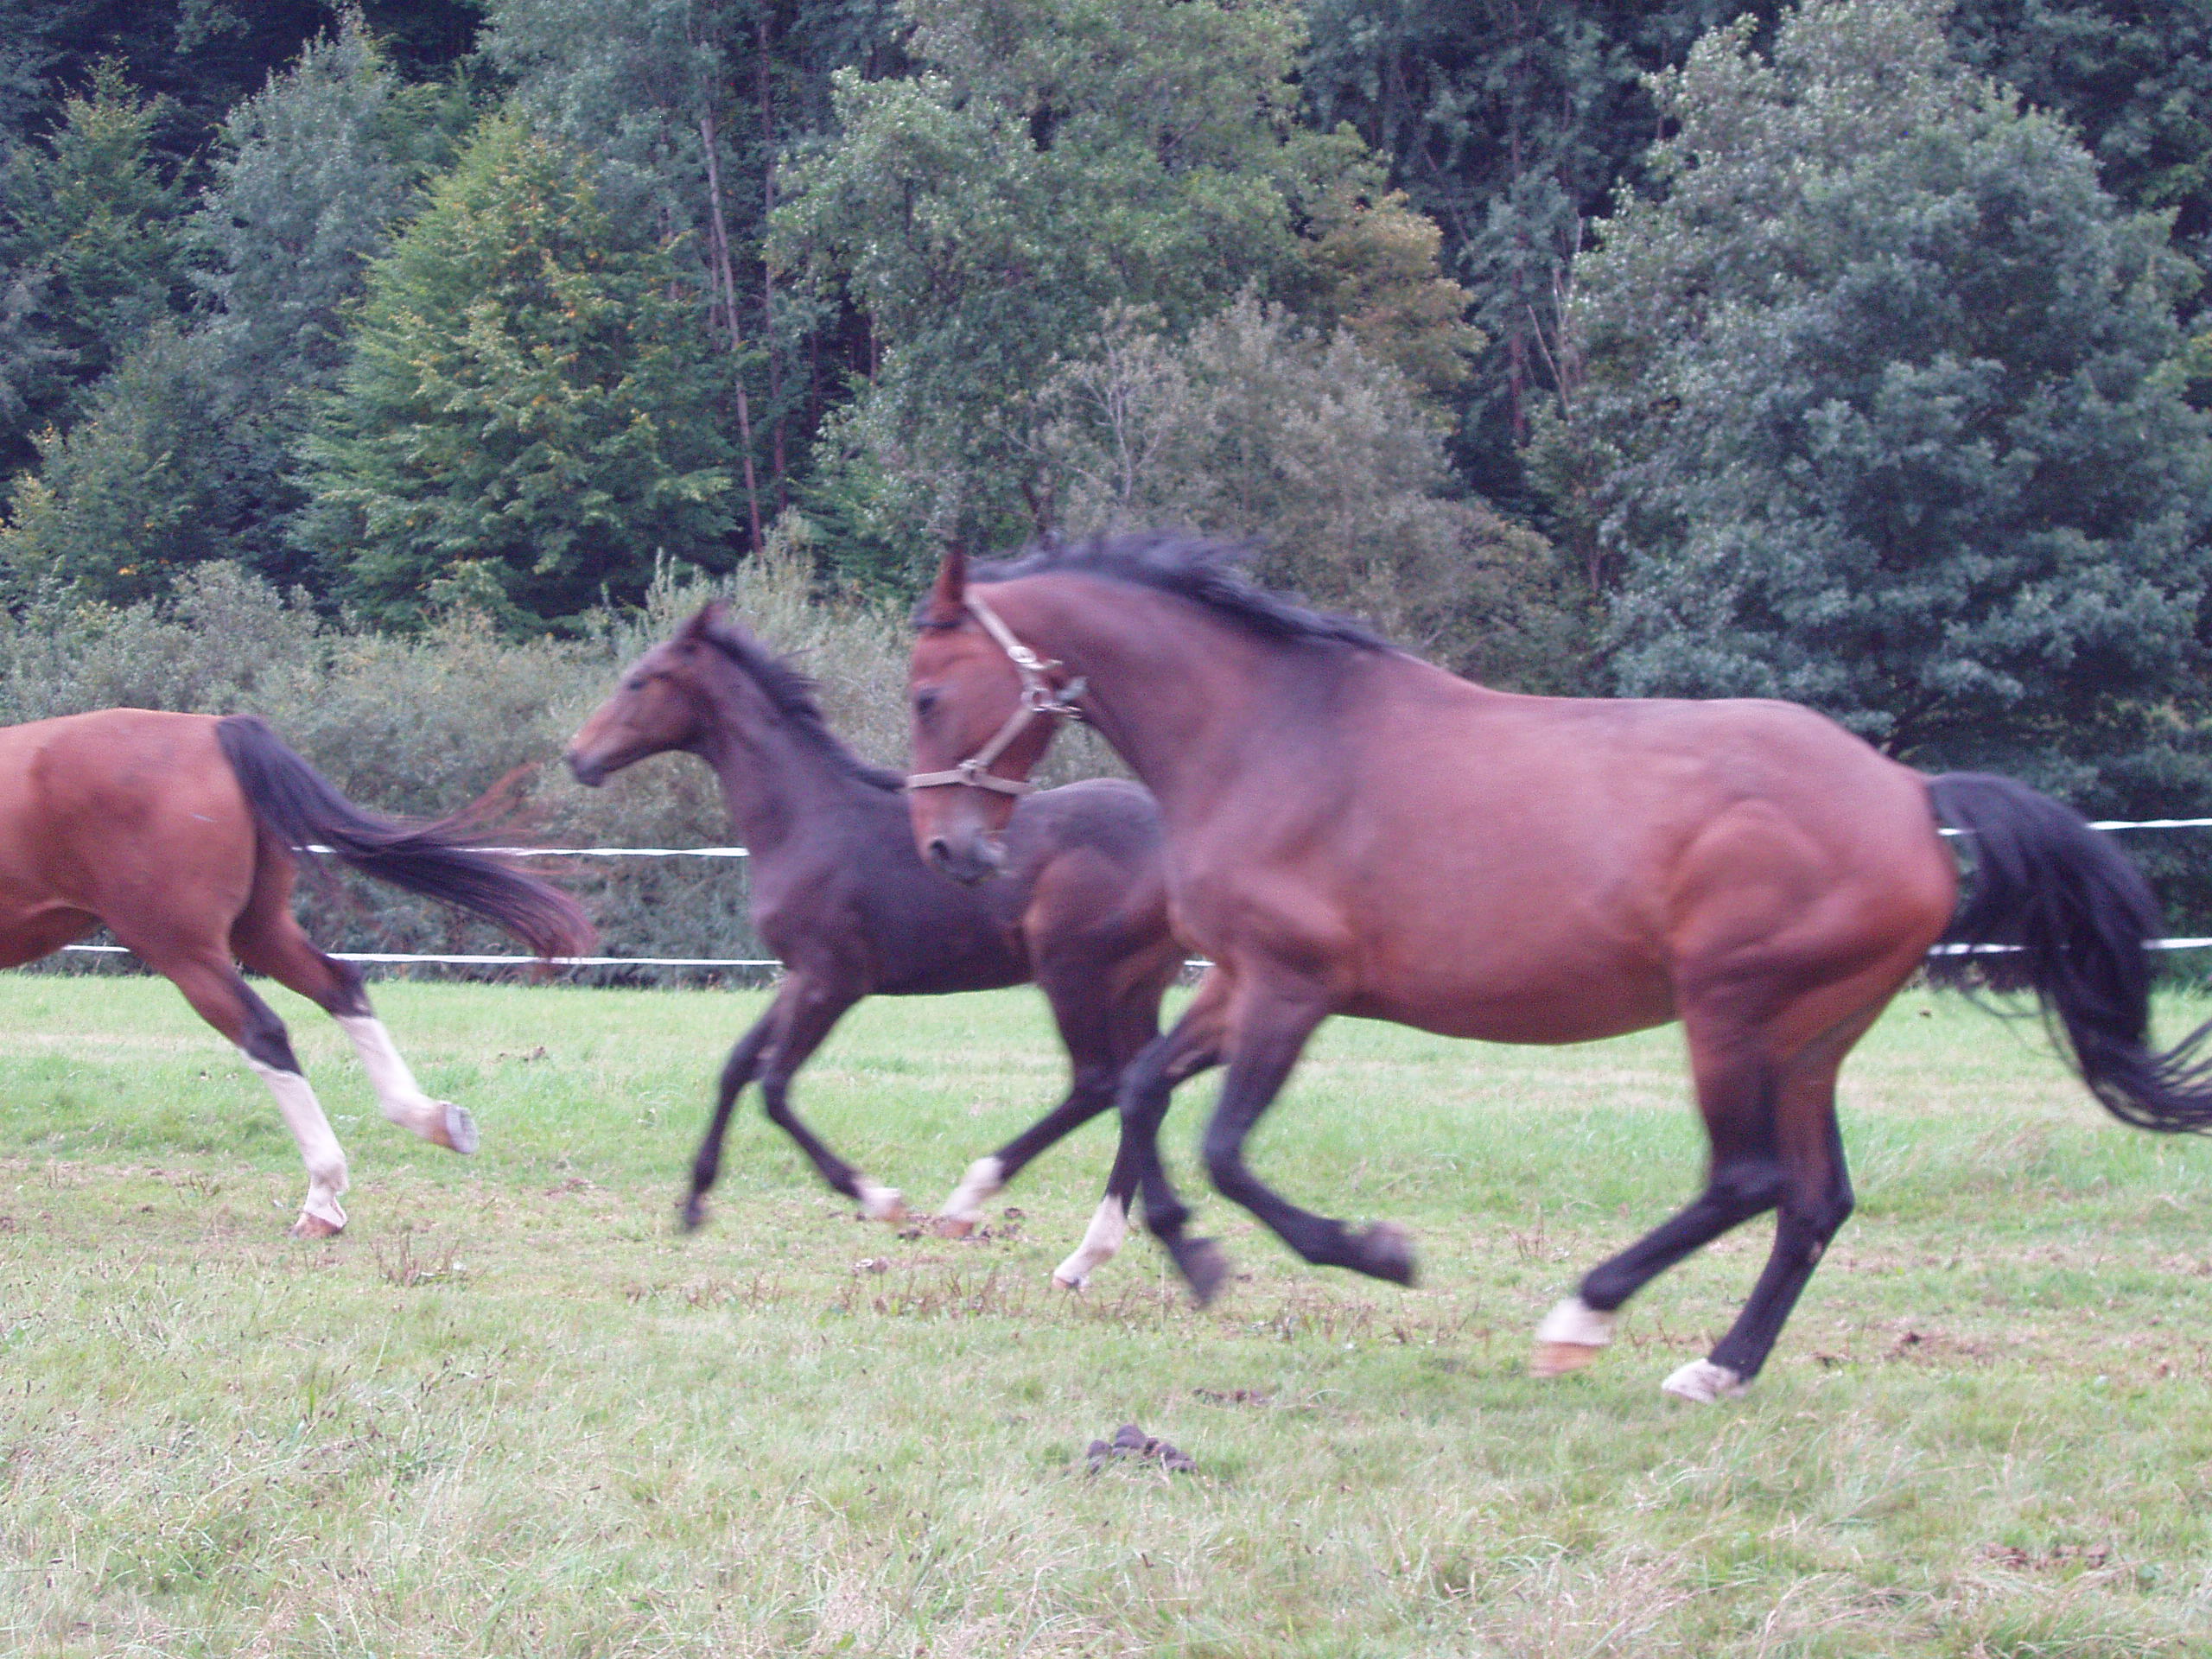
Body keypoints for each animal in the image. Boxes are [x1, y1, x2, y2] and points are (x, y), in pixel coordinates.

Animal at [0, 708, 593, 1238]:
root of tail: (215, 730)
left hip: (182, 948)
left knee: (263, 1031)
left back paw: (323, 1197)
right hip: (259, 930)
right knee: (342, 988)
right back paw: (426, 1121)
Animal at [570, 606, 1194, 1282]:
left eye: (639, 680)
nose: (577, 756)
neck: (807, 819)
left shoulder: (834, 980)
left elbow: (774, 1087)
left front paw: (880, 1199)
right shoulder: (801, 974)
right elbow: (737, 1066)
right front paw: (694, 1202)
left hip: (1073, 972)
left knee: (1097, 1082)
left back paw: (973, 1203)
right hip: (1135, 982)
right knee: (1143, 1088)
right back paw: (1088, 1253)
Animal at [902, 532, 2212, 1407]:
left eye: (923, 692)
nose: (948, 853)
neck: (1269, 735)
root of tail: (1907, 794)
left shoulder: (1290, 988)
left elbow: (1224, 1149)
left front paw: (1369, 1254)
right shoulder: (1230, 984)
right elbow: (1138, 1091)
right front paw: (1157, 1253)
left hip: (1731, 1014)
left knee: (1745, 1179)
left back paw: (1583, 1315)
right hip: (1811, 1038)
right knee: (1813, 1201)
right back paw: (1718, 1370)